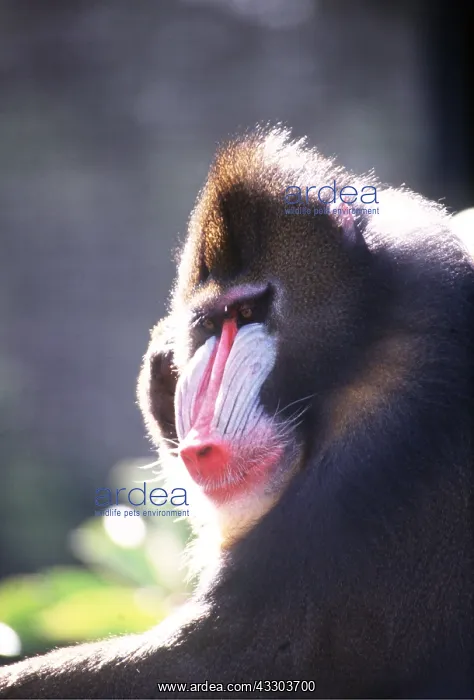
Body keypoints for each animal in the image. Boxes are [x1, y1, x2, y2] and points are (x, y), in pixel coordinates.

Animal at [0, 126, 473, 699]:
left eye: (247, 312)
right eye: (209, 323)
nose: (201, 446)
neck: (365, 337)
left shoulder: (397, 425)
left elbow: (244, 652)